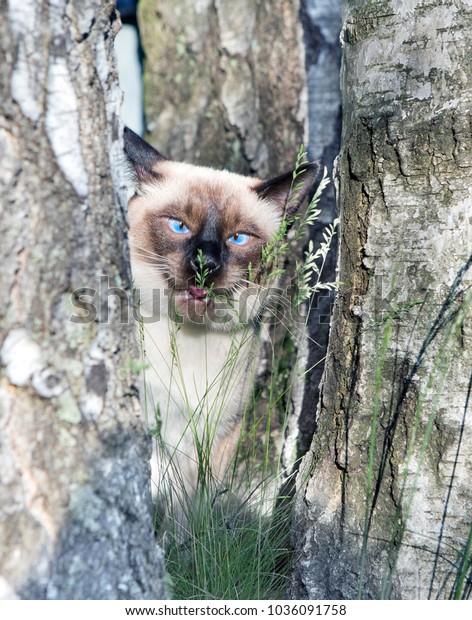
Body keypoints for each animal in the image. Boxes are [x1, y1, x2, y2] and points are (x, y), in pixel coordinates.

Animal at [123, 127, 318, 532]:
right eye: (179, 226)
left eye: (237, 238)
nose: (205, 263)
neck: (192, 342)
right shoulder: (156, 431)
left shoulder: (217, 433)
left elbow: (191, 510)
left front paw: (185, 544)